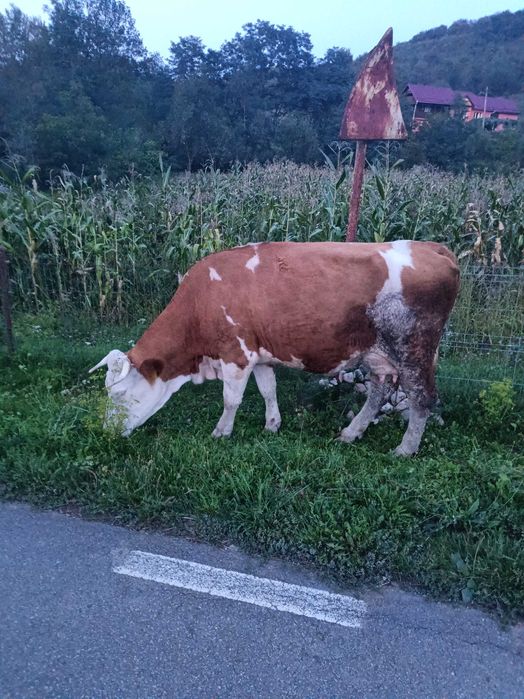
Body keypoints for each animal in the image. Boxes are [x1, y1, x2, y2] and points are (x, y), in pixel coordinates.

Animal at [89, 240, 460, 456]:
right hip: (377, 353)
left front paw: (221, 432)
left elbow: (231, 399)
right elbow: (268, 389)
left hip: (414, 348)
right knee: (379, 391)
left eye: (118, 394)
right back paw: (350, 433)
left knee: (422, 398)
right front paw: (272, 425)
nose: (106, 431)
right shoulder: (260, 354)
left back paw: (405, 449)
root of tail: (431, 247)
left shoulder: (236, 353)